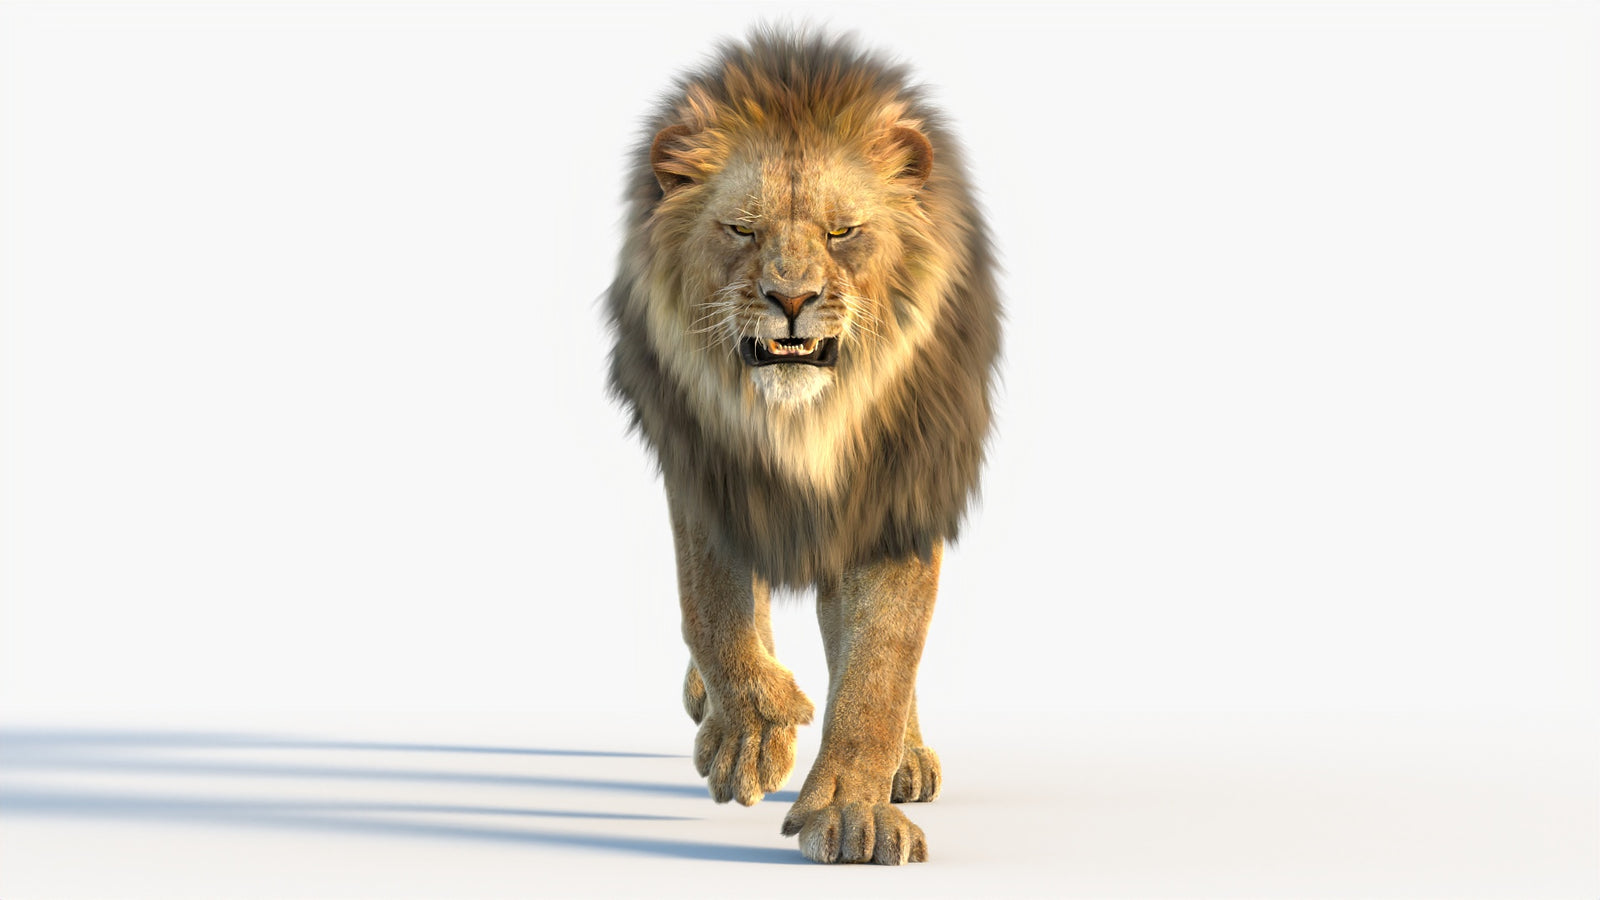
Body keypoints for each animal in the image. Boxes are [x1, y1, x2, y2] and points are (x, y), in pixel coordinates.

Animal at [605, 29, 1000, 865]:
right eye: (743, 229)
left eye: (841, 232)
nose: (791, 299)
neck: (804, 426)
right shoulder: (705, 466)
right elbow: (713, 605)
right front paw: (753, 734)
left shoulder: (901, 487)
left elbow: (882, 660)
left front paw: (853, 812)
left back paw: (906, 760)